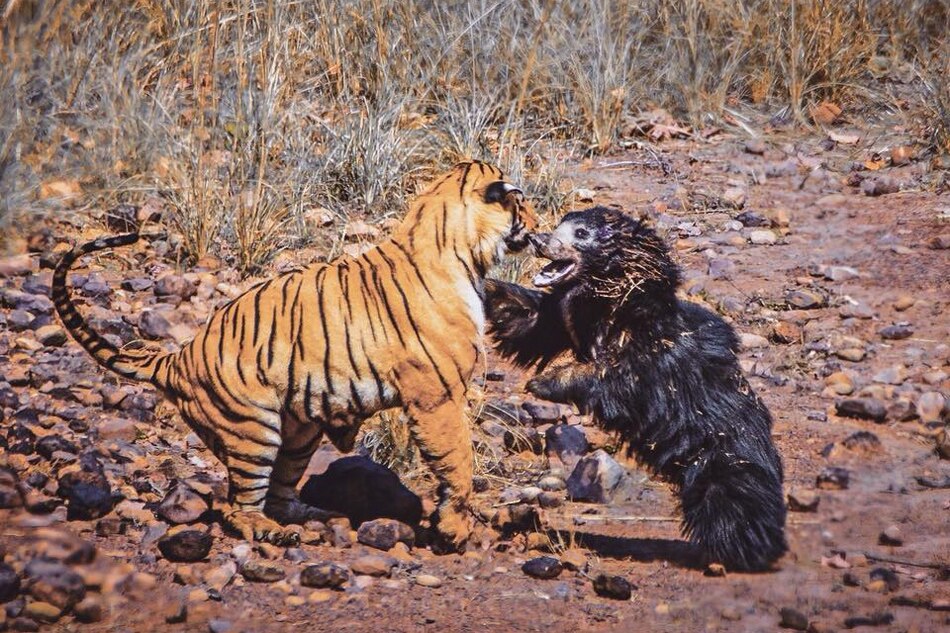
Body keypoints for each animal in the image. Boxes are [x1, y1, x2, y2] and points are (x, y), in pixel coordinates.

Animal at [55, 160, 540, 544]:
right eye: (522, 204)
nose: (541, 224)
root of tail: (176, 358)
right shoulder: (436, 397)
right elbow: (458, 459)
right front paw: (455, 528)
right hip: (253, 430)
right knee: (240, 507)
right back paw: (273, 532)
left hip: (300, 433)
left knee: (281, 494)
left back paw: (318, 517)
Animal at [484, 209, 788, 572]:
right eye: (558, 226)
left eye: (581, 233)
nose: (537, 239)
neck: (611, 304)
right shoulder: (566, 316)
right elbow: (530, 321)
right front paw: (482, 284)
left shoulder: (655, 358)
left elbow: (618, 382)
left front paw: (544, 381)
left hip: (724, 460)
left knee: (733, 507)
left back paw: (738, 552)